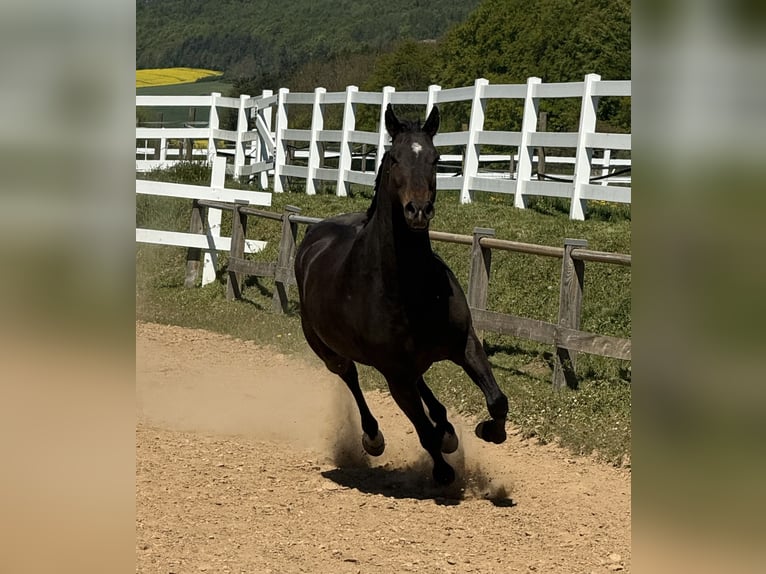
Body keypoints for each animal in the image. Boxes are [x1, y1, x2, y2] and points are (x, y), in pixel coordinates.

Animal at [294, 104, 508, 486]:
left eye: (436, 159)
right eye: (394, 158)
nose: (418, 210)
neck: (409, 286)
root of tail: (313, 237)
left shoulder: (464, 343)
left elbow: (497, 401)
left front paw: (487, 431)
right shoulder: (394, 374)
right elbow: (423, 431)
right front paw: (442, 470)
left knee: (422, 384)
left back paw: (446, 426)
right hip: (330, 352)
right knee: (350, 376)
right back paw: (374, 438)